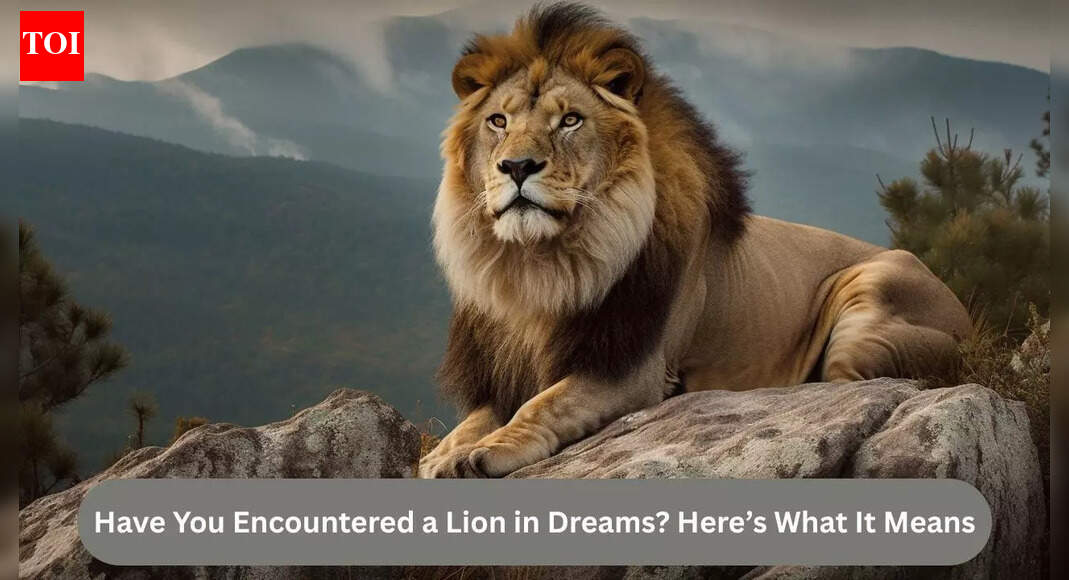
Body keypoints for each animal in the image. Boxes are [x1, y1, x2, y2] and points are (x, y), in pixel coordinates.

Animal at [419, 4, 972, 478]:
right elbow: (476, 417)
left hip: (872, 302)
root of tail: (964, 313)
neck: (539, 266)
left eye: (570, 120)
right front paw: (444, 454)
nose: (516, 166)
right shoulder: (503, 369)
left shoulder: (633, 370)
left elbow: (545, 402)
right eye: (498, 121)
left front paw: (490, 448)